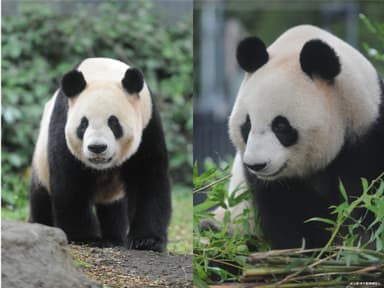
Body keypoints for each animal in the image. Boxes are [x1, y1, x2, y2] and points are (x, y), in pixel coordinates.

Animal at [30, 57, 172, 251]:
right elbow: (70, 182)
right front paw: (85, 237)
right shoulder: (63, 121)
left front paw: (147, 240)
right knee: (41, 197)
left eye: (113, 123)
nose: (97, 147)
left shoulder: (147, 124)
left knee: (113, 208)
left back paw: (114, 238)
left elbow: (147, 177)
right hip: (41, 159)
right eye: (83, 124)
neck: (103, 71)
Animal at [228, 25, 384, 250]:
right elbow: (285, 215)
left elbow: (365, 201)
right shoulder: (267, 184)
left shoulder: (368, 133)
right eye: (247, 125)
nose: (257, 164)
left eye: (281, 126)